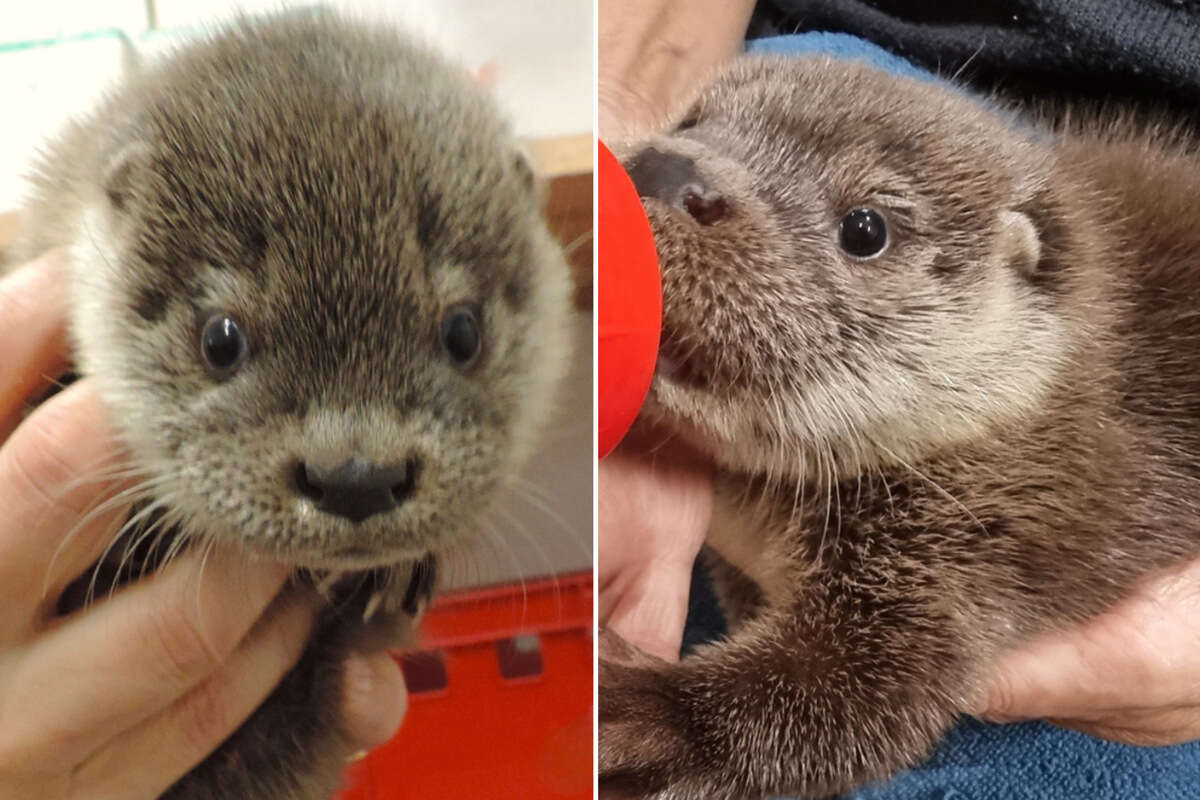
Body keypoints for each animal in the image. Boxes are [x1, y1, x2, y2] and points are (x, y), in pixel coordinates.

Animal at [600, 56, 1200, 800]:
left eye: (864, 228)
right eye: (691, 120)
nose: (670, 168)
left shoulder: (993, 530)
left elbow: (851, 702)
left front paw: (633, 714)